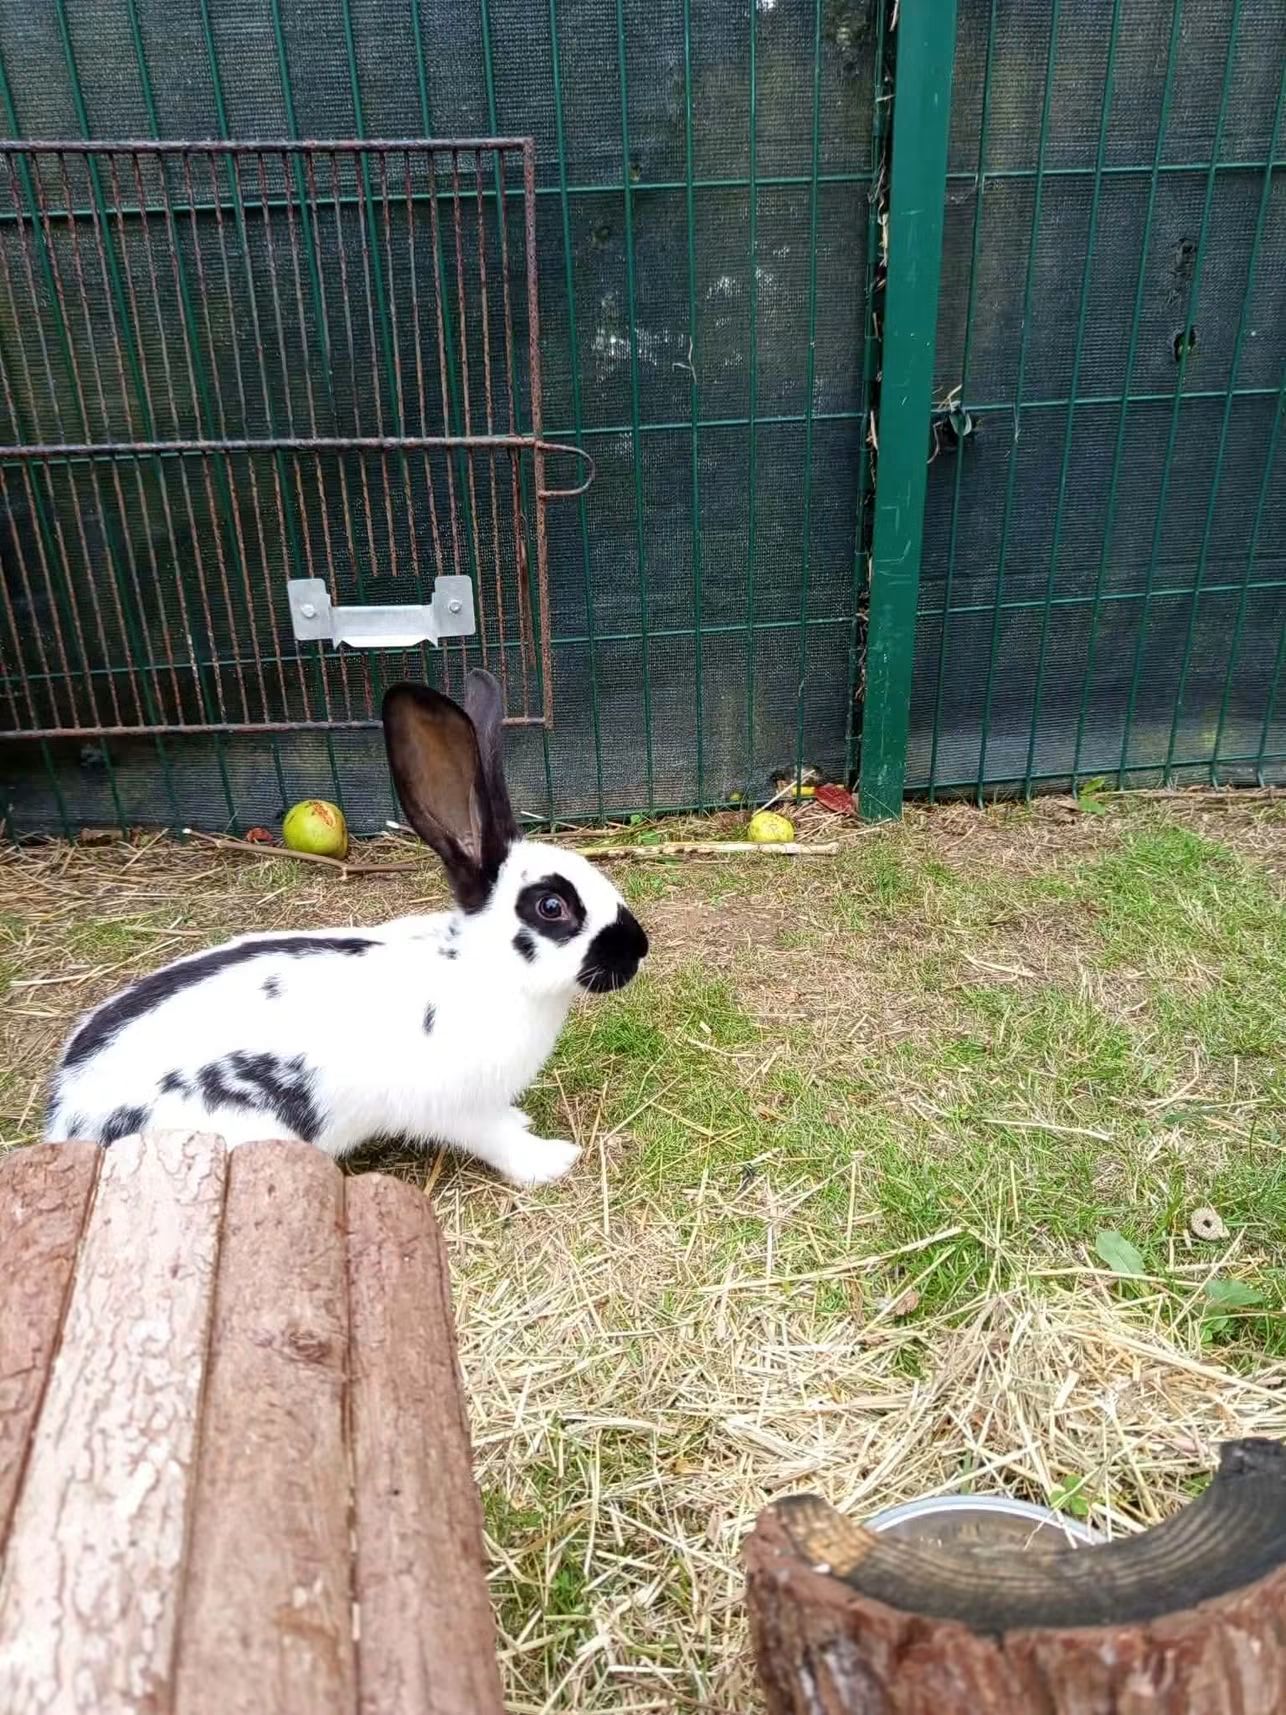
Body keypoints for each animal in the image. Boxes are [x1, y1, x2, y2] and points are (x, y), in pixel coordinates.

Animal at [42, 670, 649, 1186]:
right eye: (551, 907)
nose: (638, 948)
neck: (483, 969)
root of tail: (71, 1121)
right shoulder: (461, 1110)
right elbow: (497, 1142)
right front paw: (552, 1160)